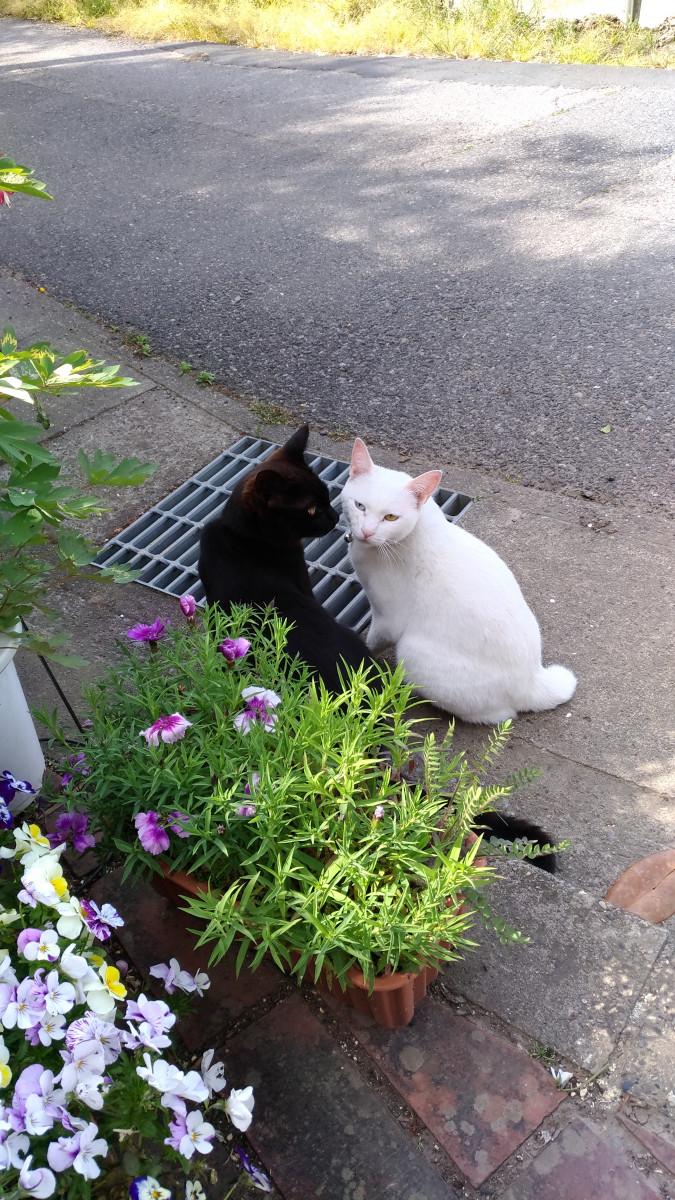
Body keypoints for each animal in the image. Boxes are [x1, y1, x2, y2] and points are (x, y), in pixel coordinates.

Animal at [341, 438, 577, 725]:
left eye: (391, 517)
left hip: (413, 652)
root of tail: (533, 680)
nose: (366, 532)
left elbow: (373, 640)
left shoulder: (387, 618)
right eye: (360, 506)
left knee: (500, 715)